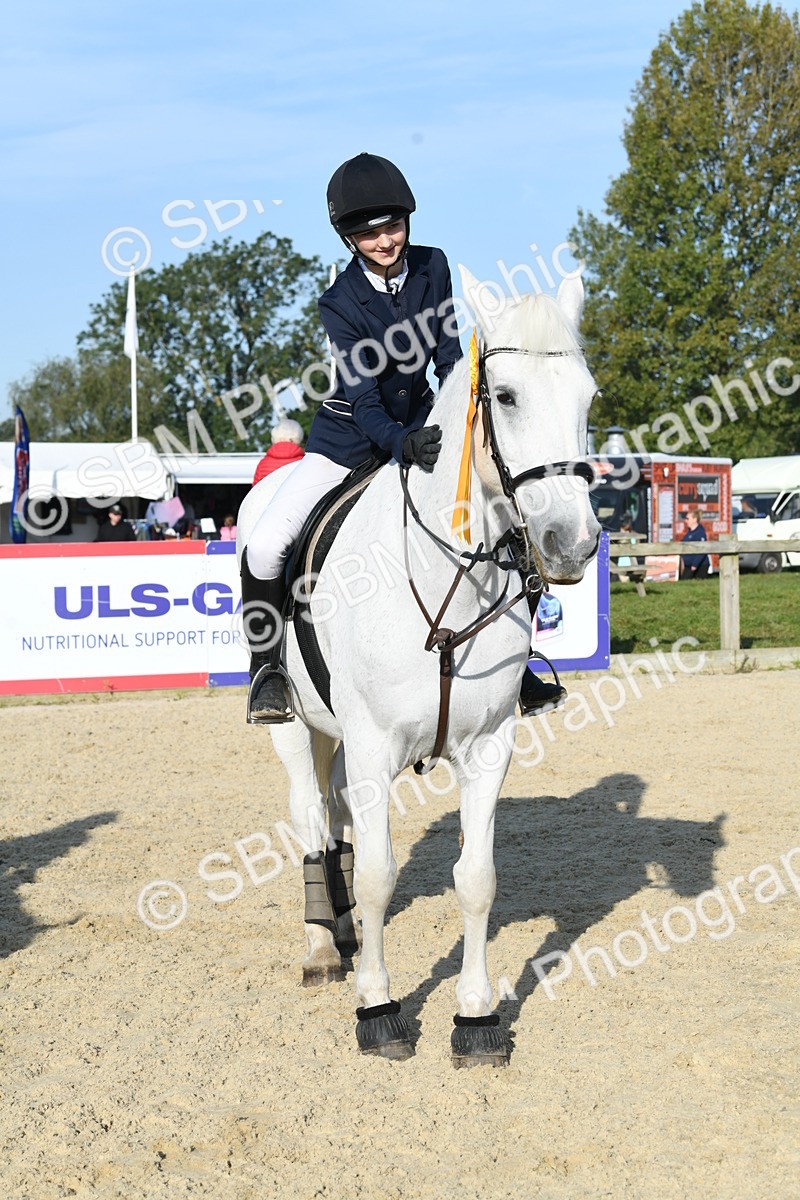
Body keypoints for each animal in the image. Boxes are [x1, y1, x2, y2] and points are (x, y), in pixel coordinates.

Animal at [236, 266, 602, 1066]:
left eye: (589, 398)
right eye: (506, 397)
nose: (572, 543)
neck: (447, 573)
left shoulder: (488, 746)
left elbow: (477, 879)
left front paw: (476, 1017)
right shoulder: (375, 745)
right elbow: (379, 876)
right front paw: (378, 1008)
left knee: (338, 817)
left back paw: (342, 933)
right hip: (295, 727)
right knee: (312, 816)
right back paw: (322, 948)